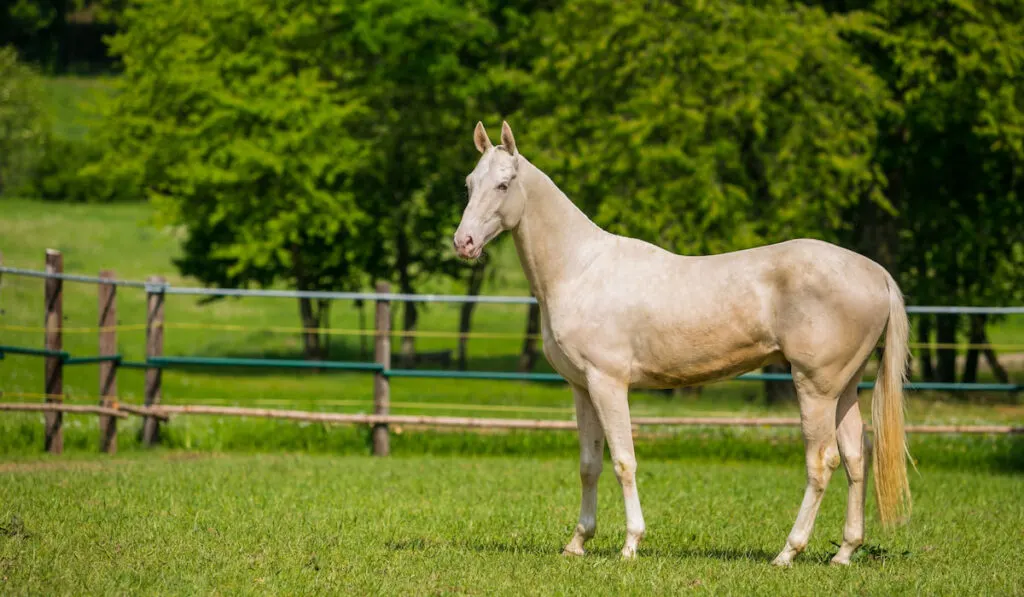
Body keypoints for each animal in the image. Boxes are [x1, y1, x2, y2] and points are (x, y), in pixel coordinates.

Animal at [456, 120, 913, 565]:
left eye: (503, 184)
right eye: (469, 183)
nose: (464, 243)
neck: (581, 268)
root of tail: (874, 273)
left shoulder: (608, 384)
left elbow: (623, 461)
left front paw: (630, 545)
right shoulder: (582, 388)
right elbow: (589, 465)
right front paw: (577, 542)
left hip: (814, 388)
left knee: (822, 462)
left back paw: (788, 552)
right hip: (844, 389)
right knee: (856, 456)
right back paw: (845, 552)